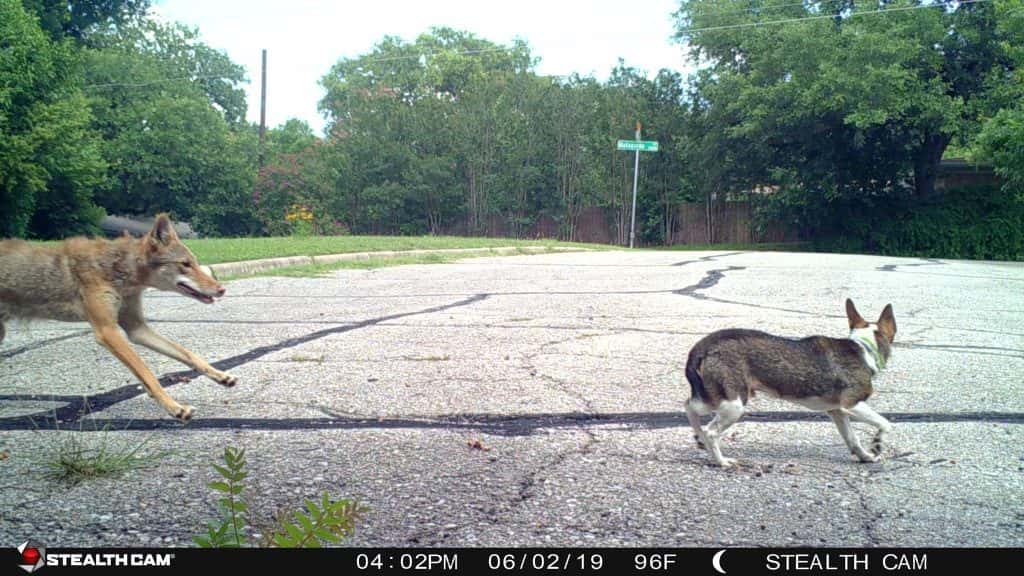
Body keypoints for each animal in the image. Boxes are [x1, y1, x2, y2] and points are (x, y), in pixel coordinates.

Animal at [1, 213, 235, 420]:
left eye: (194, 262)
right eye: (185, 264)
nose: (222, 289)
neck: (120, 270)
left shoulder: (137, 329)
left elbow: (188, 354)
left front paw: (221, 376)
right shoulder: (107, 331)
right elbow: (147, 373)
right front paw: (175, 408)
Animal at [688, 297, 897, 463]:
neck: (864, 347)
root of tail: (704, 345)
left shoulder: (837, 411)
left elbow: (852, 439)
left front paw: (865, 456)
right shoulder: (851, 404)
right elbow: (885, 423)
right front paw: (877, 444)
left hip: (716, 398)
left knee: (690, 408)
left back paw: (700, 439)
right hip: (734, 404)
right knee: (711, 432)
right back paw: (721, 461)